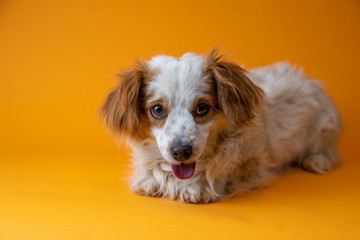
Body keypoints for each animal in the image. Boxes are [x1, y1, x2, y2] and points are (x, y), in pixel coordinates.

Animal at [99, 49, 344, 203]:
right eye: (157, 109)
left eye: (202, 108)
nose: (181, 151)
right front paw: (149, 181)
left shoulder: (252, 164)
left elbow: (218, 171)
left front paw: (197, 188)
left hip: (323, 130)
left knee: (329, 152)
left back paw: (316, 161)